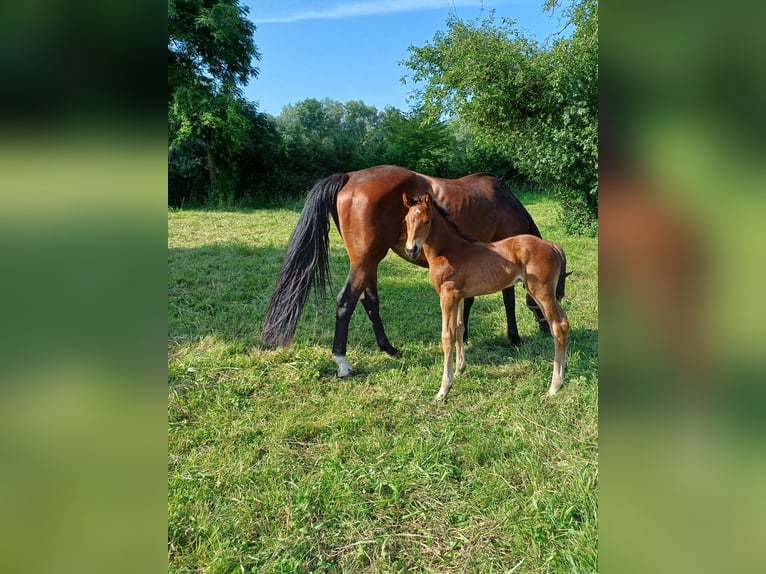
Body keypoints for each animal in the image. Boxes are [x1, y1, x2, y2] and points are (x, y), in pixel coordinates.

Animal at [262, 164, 544, 380]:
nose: (544, 327)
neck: (505, 203)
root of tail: (349, 177)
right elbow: (508, 299)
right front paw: (514, 337)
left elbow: (470, 300)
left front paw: (464, 336)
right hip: (364, 262)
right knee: (345, 302)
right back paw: (342, 362)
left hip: (368, 263)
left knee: (369, 302)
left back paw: (389, 349)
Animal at [408, 194, 568, 400]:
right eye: (406, 220)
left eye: (426, 221)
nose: (411, 249)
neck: (449, 251)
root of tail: (552, 245)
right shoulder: (459, 296)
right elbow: (460, 328)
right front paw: (460, 369)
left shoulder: (447, 296)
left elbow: (447, 336)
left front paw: (444, 389)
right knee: (563, 322)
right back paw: (562, 372)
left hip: (542, 292)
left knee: (558, 326)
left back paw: (554, 386)